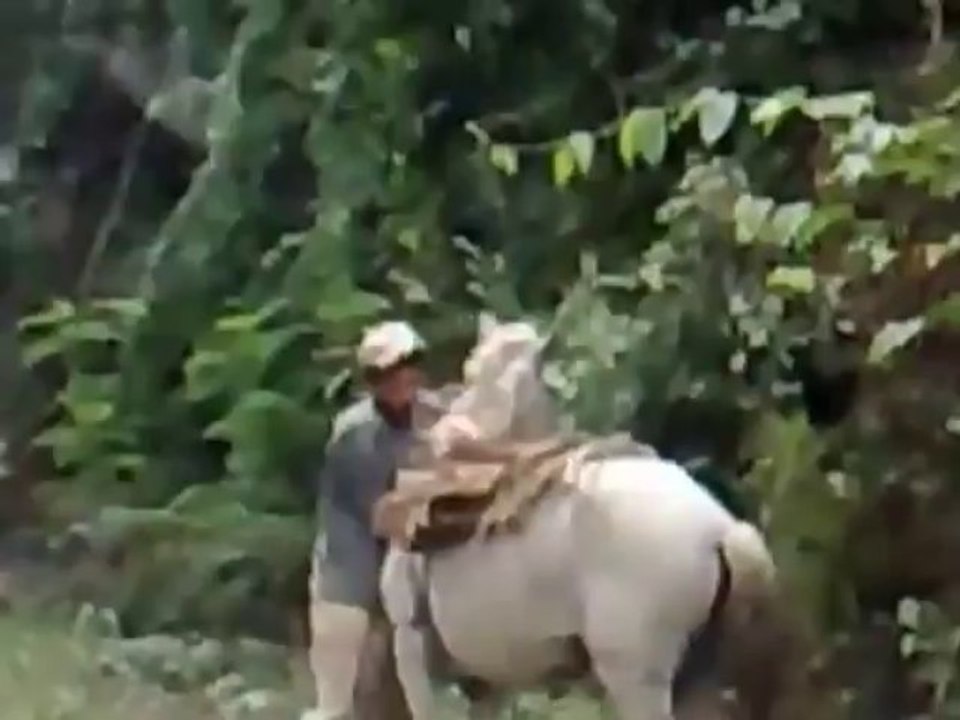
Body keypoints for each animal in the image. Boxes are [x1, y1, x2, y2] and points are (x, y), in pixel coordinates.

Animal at [379, 314, 786, 720]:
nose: (449, 436)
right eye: (471, 369)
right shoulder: (488, 679)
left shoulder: (413, 651)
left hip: (635, 676)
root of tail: (722, 529)